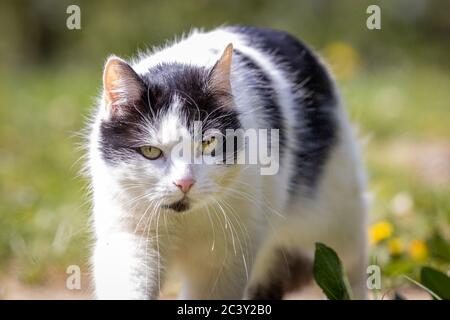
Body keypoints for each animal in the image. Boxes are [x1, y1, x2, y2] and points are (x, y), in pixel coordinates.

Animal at [86, 26, 368, 298]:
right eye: (150, 151)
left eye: (209, 143)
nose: (185, 183)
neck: (185, 219)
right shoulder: (128, 237)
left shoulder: (224, 260)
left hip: (337, 215)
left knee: (352, 266)